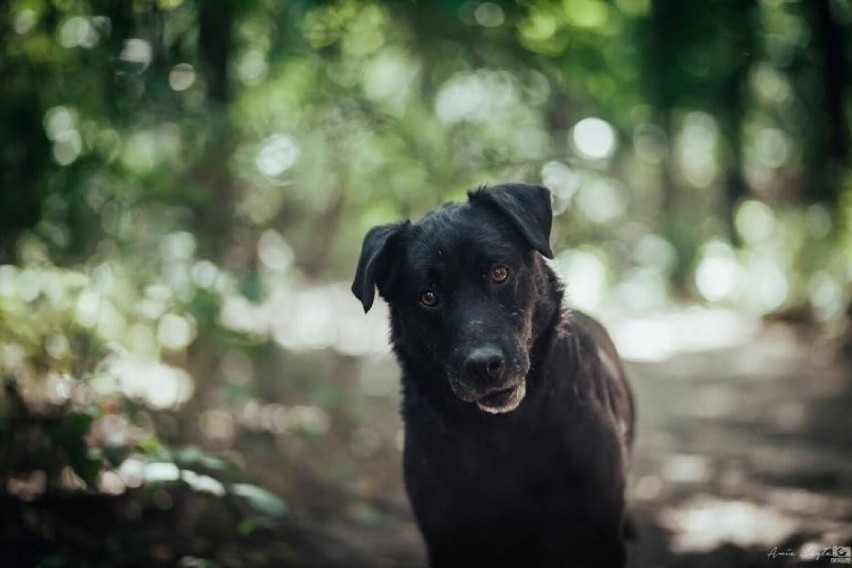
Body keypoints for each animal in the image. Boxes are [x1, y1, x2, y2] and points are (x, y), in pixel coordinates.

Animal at [350, 184, 636, 564]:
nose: (483, 365)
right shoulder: (448, 538)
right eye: (428, 297)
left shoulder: (597, 534)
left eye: (500, 273)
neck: (501, 432)